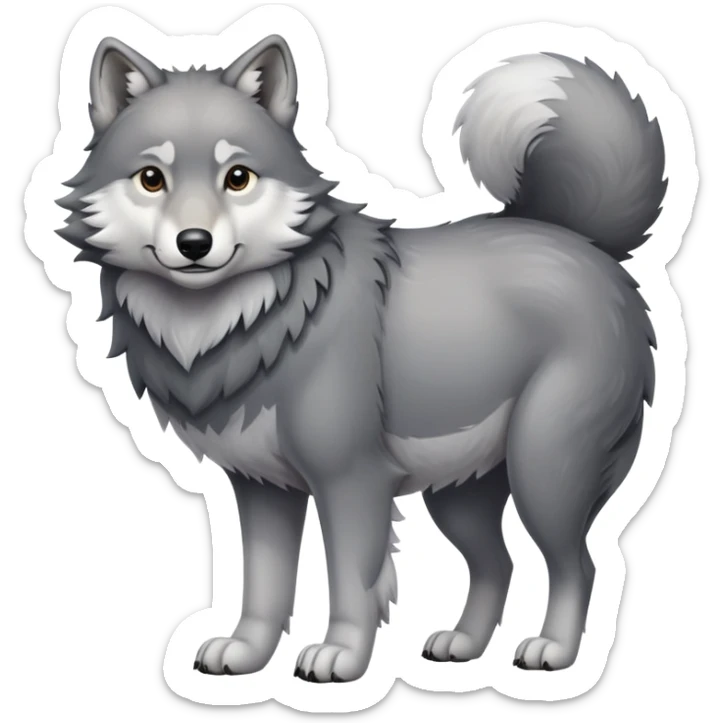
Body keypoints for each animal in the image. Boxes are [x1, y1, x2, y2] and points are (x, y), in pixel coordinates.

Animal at [55, 34, 665, 682]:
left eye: (237, 177)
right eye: (152, 178)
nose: (194, 244)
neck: (261, 315)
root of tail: (581, 241)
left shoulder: (350, 480)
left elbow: (351, 580)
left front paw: (341, 656)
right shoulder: (261, 487)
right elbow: (263, 584)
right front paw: (246, 652)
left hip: (543, 472)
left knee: (579, 564)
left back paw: (555, 650)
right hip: (460, 495)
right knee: (498, 564)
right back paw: (463, 644)